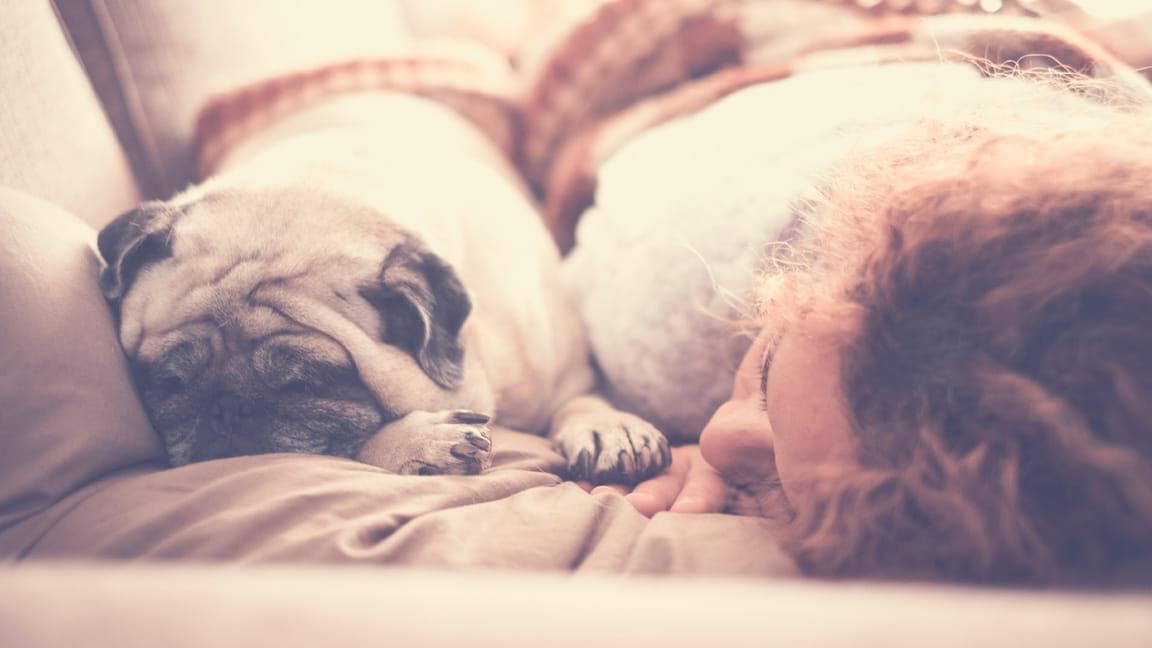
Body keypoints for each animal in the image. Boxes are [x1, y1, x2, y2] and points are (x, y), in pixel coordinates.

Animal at [101, 93, 672, 481]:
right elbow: (354, 441)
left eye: (306, 382)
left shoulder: (559, 371)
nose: (224, 408)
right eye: (165, 382)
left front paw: (607, 425)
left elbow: (580, 399)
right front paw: (416, 441)